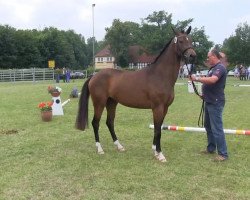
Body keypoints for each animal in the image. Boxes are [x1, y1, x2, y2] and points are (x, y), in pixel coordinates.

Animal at [75, 26, 196, 162]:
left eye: (190, 40)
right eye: (180, 41)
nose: (192, 55)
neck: (160, 75)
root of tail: (94, 76)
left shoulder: (165, 108)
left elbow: (158, 128)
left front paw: (155, 150)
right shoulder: (158, 107)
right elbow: (158, 129)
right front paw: (160, 154)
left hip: (111, 103)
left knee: (109, 122)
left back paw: (119, 146)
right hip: (99, 103)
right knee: (95, 123)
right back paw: (100, 149)